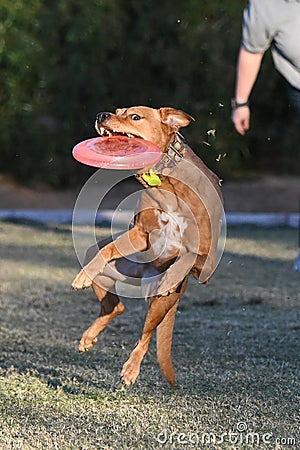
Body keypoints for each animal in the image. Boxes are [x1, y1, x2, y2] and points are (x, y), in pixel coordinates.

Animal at [72, 106, 223, 386]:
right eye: (117, 110)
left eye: (134, 116)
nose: (101, 114)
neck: (163, 177)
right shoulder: (140, 235)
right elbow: (108, 248)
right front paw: (83, 276)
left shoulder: (206, 265)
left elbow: (189, 254)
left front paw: (172, 275)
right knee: (116, 307)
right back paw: (89, 336)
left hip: (161, 303)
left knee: (146, 335)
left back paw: (131, 369)